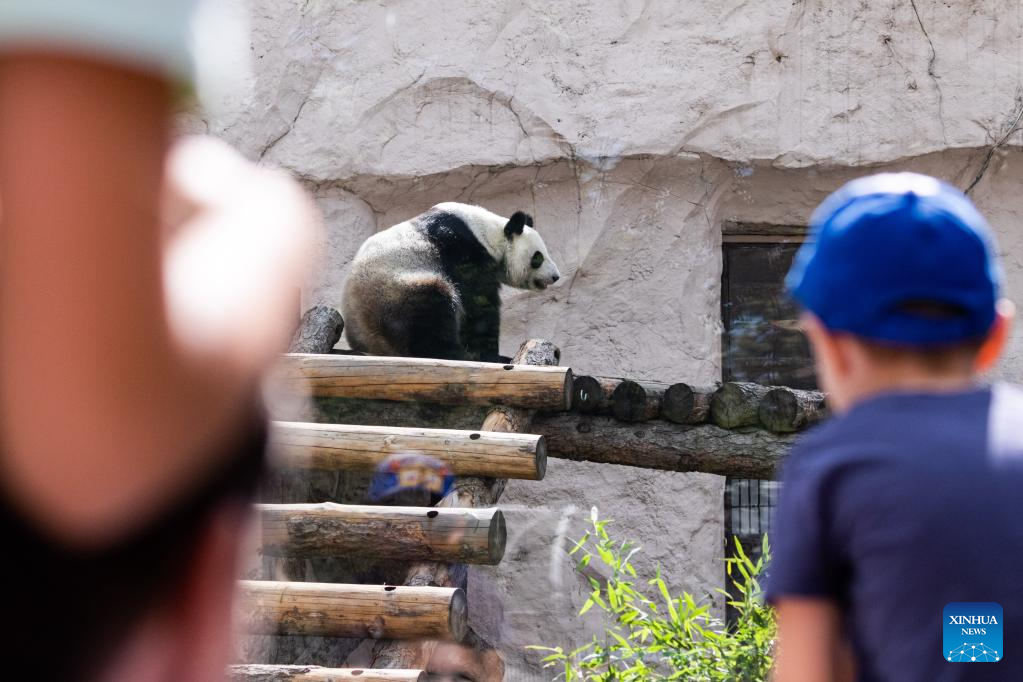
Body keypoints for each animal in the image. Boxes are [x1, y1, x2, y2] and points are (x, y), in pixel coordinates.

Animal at [341, 201, 560, 361]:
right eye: (538, 257)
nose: (555, 276)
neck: (488, 233)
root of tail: (369, 344)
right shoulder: (462, 251)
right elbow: (478, 307)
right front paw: (492, 355)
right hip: (394, 290)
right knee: (430, 311)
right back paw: (458, 354)